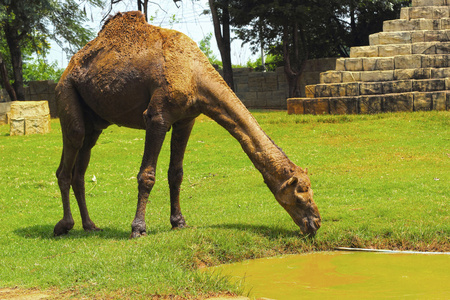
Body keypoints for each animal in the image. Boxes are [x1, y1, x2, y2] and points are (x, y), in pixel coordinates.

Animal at [53, 10, 320, 238]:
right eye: (300, 195)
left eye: (310, 189)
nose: (315, 223)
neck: (194, 75)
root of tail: (68, 67)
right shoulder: (157, 116)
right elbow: (147, 175)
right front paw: (138, 228)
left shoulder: (186, 119)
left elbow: (176, 173)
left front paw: (178, 222)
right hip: (67, 92)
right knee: (69, 154)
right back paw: (64, 225)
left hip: (95, 120)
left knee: (81, 166)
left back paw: (90, 225)